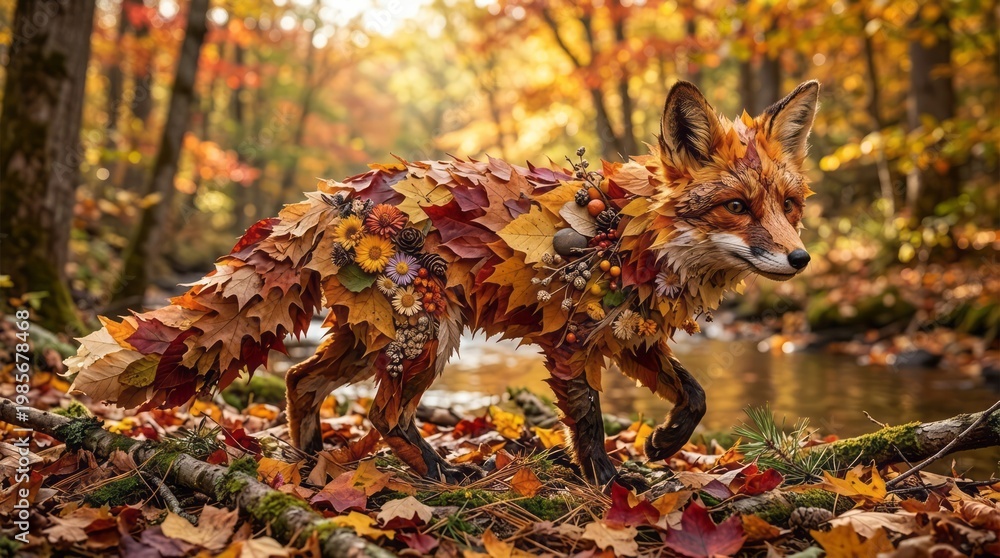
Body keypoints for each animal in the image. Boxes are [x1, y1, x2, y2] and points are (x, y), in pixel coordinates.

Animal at [66, 80, 819, 485]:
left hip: (373, 337)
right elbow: (590, 425)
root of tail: (338, 193)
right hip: (427, 329)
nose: (801, 259)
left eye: (790, 204)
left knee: (299, 380)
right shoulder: (571, 343)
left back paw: (309, 463)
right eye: (737, 207)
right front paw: (607, 485)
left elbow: (694, 396)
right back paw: (436, 472)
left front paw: (663, 444)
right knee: (383, 415)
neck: (635, 236)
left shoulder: (630, 336)